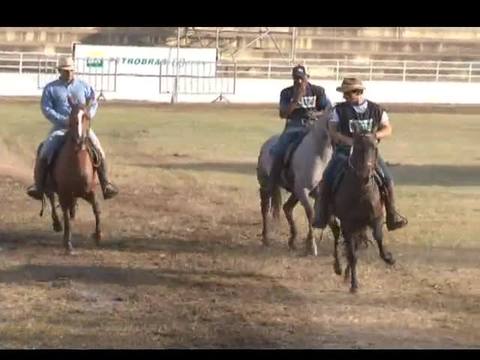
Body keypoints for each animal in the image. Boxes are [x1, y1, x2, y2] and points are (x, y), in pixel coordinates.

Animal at [44, 97, 101, 255]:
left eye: (86, 116)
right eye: (72, 116)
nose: (79, 140)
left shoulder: (88, 191)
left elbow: (96, 209)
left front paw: (98, 235)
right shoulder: (64, 193)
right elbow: (66, 217)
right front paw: (68, 244)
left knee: (71, 211)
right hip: (51, 188)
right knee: (52, 202)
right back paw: (57, 225)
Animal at [256, 111, 340, 255]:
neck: (318, 156)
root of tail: (266, 145)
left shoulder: (319, 194)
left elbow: (326, 217)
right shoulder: (303, 190)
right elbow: (311, 213)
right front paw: (311, 246)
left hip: (294, 193)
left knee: (287, 208)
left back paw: (292, 241)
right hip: (266, 186)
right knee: (265, 208)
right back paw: (266, 238)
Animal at [332, 132, 396, 292]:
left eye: (375, 147)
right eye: (357, 147)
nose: (365, 174)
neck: (361, 192)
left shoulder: (376, 218)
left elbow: (378, 238)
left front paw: (389, 258)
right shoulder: (348, 225)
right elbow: (352, 254)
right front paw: (354, 285)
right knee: (337, 239)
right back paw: (338, 267)